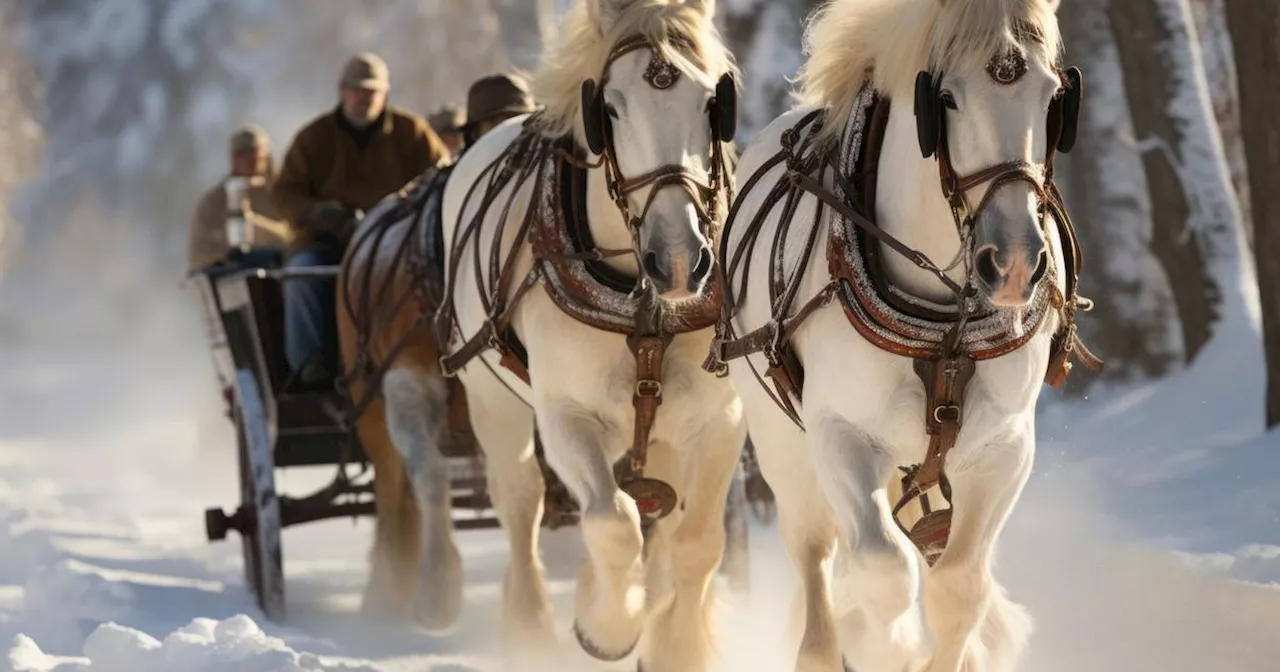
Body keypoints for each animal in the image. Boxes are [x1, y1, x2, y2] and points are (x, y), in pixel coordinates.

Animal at [440, 1, 747, 665]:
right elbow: (612, 524)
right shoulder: (566, 416)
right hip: (492, 399)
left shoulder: (719, 420)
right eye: (610, 108)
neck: (644, 305)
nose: (679, 260)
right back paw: (529, 623)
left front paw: (675, 645)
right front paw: (606, 627)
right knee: (521, 499)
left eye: (713, 102)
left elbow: (697, 541)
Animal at [721, 1, 1090, 670]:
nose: (1015, 264)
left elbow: (960, 587)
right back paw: (831, 639)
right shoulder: (838, 433)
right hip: (780, 444)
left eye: (1054, 97)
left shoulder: (1004, 448)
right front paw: (884, 644)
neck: (945, 321)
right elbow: (884, 570)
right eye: (944, 99)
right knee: (818, 555)